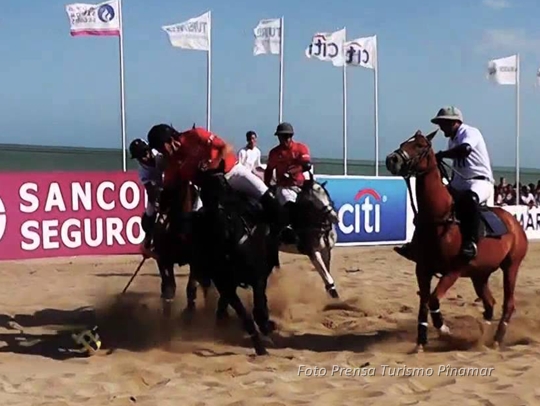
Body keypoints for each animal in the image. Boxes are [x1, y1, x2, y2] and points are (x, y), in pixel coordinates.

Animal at [386, 129, 528, 352]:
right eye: (403, 143)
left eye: (420, 145)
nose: (391, 159)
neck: (439, 216)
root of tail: (515, 222)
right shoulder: (422, 269)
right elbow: (424, 303)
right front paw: (421, 342)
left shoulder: (453, 270)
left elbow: (434, 300)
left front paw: (444, 329)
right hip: (480, 273)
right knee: (490, 303)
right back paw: (483, 331)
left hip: (511, 266)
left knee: (508, 303)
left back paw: (496, 338)